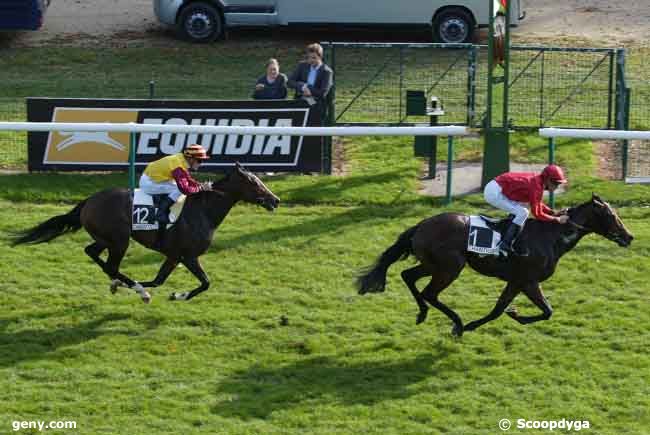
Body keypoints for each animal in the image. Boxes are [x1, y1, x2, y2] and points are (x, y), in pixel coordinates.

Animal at [13, 163, 278, 304]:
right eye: (254, 183)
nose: (274, 200)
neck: (203, 210)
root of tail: (89, 201)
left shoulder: (174, 255)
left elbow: (161, 280)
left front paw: (169, 292)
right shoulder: (188, 256)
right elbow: (205, 283)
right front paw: (176, 295)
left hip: (106, 239)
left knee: (92, 252)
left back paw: (122, 283)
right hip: (119, 240)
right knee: (111, 265)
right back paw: (137, 290)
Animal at [356, 196, 632, 338]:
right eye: (611, 216)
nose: (629, 237)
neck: (552, 236)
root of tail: (421, 225)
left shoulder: (516, 282)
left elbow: (504, 309)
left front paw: (510, 314)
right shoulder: (527, 281)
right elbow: (544, 311)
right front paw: (511, 315)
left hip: (433, 265)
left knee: (408, 276)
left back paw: (423, 313)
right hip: (450, 268)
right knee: (429, 293)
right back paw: (457, 323)